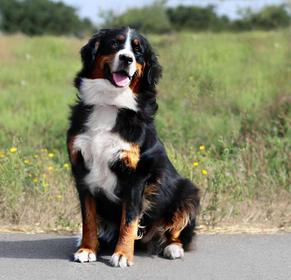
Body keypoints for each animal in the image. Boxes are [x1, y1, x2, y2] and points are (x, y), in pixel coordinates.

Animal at [67, 27, 201, 268]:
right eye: (115, 44)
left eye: (138, 51)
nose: (126, 58)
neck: (110, 104)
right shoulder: (82, 171)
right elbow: (88, 219)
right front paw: (87, 249)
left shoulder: (136, 176)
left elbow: (129, 220)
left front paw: (122, 255)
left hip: (188, 192)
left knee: (178, 232)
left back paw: (173, 247)